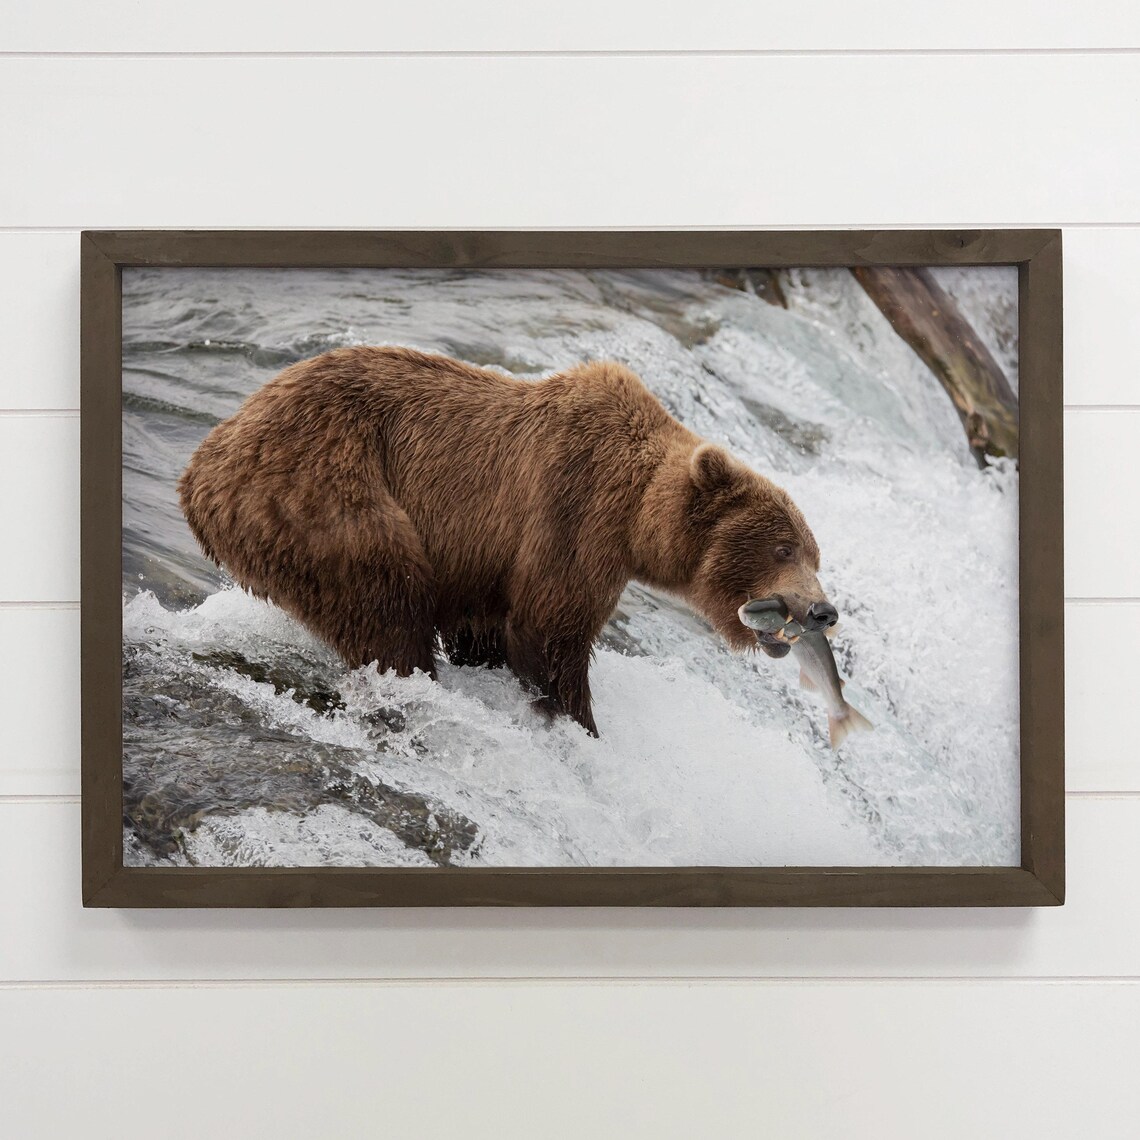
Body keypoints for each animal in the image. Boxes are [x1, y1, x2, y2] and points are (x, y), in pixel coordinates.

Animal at [178, 346, 837, 737]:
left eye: (815, 553)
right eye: (784, 548)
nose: (822, 611)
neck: (637, 516)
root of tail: (201, 466)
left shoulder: (486, 562)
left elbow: (488, 628)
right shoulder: (573, 511)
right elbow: (549, 632)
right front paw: (578, 722)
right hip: (323, 490)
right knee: (385, 600)